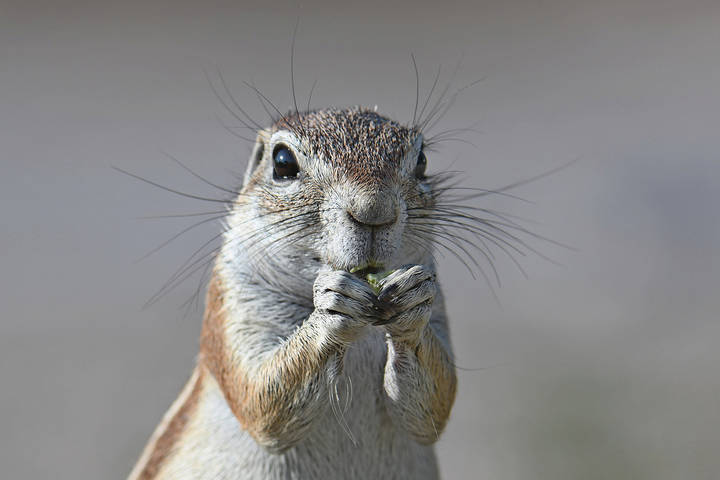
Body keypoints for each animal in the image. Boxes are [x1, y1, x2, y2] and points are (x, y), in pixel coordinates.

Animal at [129, 107, 459, 479]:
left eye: (422, 161)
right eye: (283, 162)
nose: (375, 210)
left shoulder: (439, 306)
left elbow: (436, 404)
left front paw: (413, 302)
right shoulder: (233, 303)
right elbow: (260, 400)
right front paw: (332, 306)